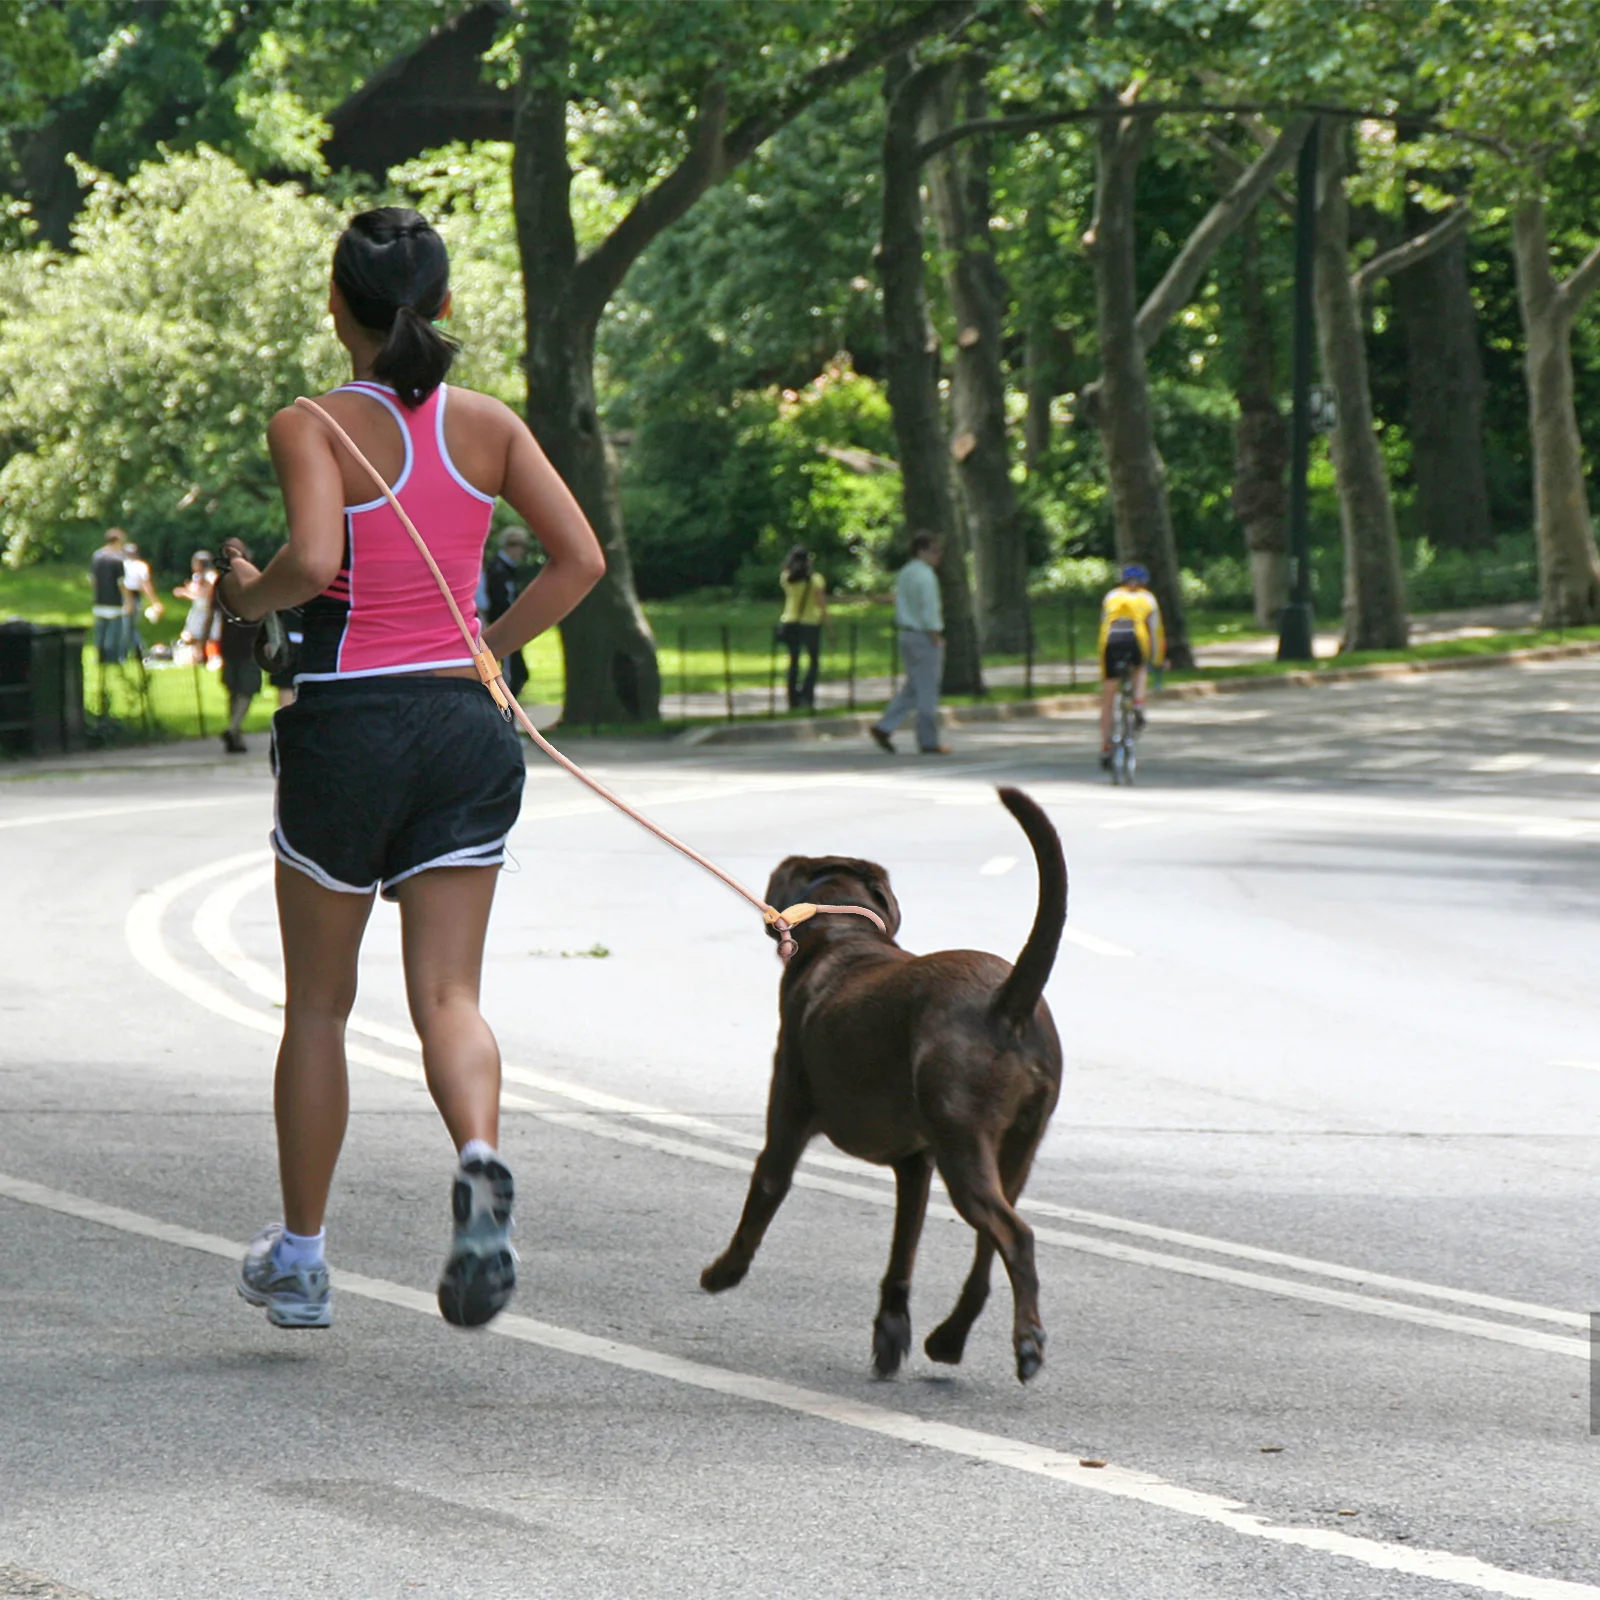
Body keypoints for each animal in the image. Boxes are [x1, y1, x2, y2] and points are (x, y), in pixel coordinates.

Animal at [700, 784, 1062, 1376]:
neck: (843, 936)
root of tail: (1007, 1001)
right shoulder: (916, 1163)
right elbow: (902, 1252)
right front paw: (892, 1332)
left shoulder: (786, 1124)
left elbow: (764, 1192)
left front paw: (723, 1272)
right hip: (1015, 1149)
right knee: (989, 1253)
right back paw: (949, 1339)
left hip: (965, 1147)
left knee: (1017, 1236)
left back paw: (1027, 1343)